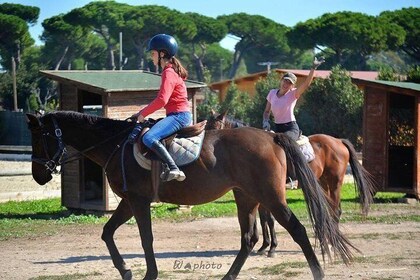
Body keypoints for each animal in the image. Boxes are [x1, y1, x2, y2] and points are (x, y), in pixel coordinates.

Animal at [26, 110, 356, 278]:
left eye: (40, 137)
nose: (39, 176)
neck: (115, 144)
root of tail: (272, 136)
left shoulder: (139, 201)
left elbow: (146, 239)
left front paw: (148, 274)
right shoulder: (129, 202)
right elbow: (107, 233)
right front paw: (125, 271)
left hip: (271, 197)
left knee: (298, 229)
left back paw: (317, 272)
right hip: (246, 197)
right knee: (248, 239)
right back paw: (228, 277)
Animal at [208, 111, 376, 258]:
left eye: (215, 127)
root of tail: (338, 140)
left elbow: (270, 220)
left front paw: (272, 248)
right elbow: (264, 219)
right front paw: (264, 246)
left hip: (335, 183)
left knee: (336, 211)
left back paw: (330, 244)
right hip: (322, 183)